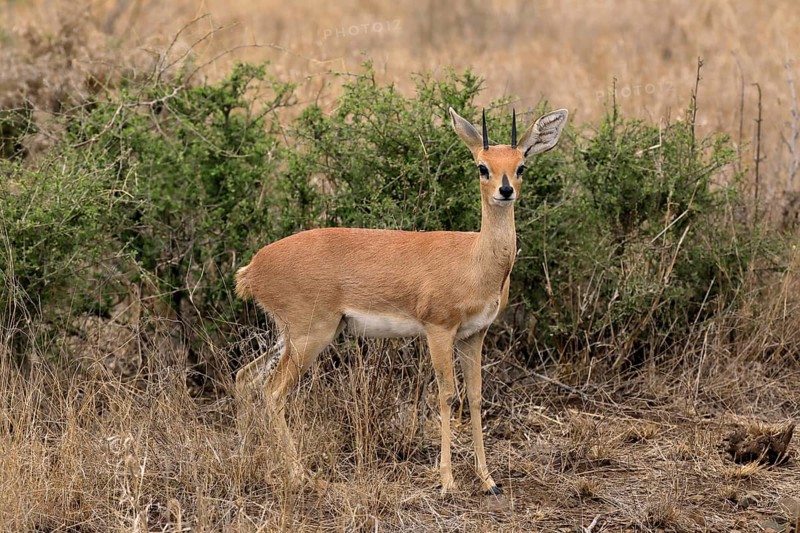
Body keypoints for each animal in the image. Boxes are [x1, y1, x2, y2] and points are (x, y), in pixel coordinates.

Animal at [235, 106, 568, 495]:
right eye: (482, 167)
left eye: (521, 165)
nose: (505, 190)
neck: (475, 260)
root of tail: (253, 268)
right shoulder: (438, 330)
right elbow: (446, 395)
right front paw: (448, 481)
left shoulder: (474, 335)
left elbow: (474, 397)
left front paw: (488, 481)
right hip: (310, 336)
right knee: (272, 392)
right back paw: (303, 475)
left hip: (288, 336)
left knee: (245, 378)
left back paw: (249, 464)